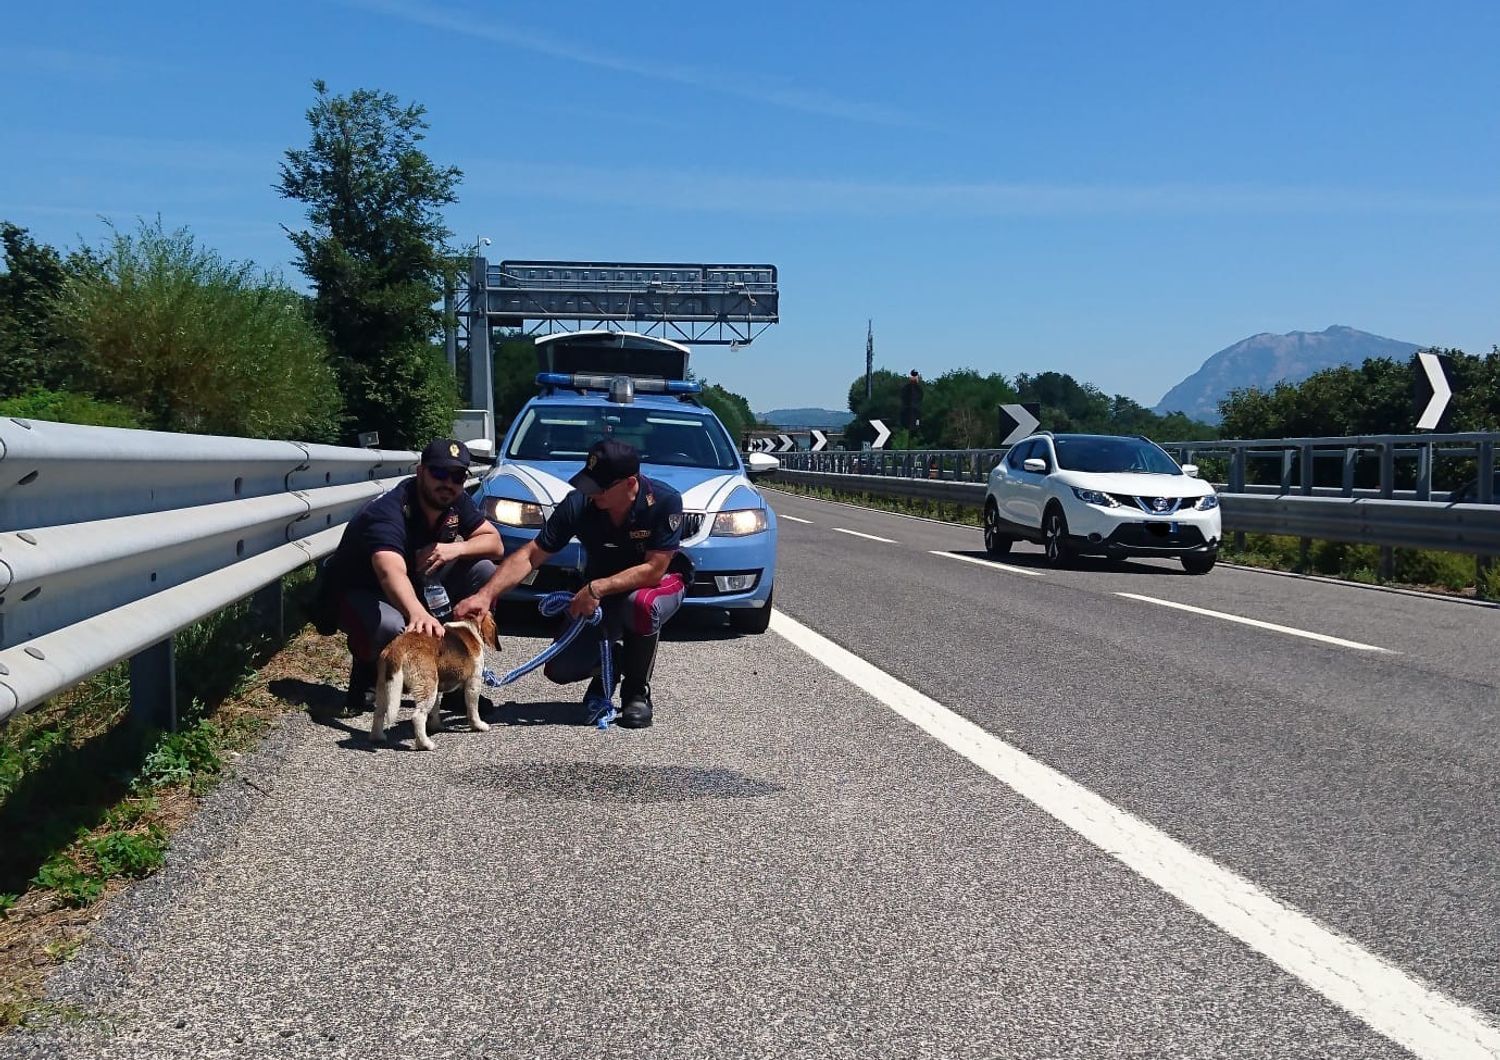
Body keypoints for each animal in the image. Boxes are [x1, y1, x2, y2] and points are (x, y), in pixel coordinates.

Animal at [372, 608, 501, 749]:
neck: (469, 624)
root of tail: (398, 646)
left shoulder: (437, 686)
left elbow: (436, 709)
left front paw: (436, 726)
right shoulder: (473, 682)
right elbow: (473, 709)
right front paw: (478, 725)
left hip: (385, 687)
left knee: (379, 712)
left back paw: (377, 737)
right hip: (426, 687)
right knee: (417, 717)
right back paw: (425, 744)